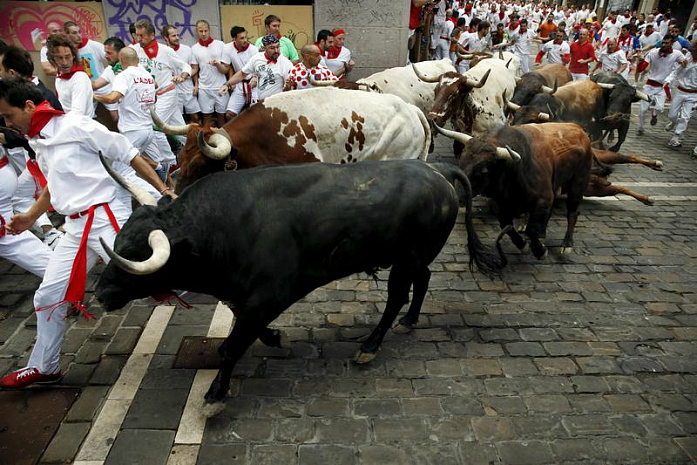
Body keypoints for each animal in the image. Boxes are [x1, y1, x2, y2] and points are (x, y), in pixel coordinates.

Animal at [95, 161, 502, 400]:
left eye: (136, 256)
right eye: (120, 239)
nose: (99, 293)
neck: (220, 226)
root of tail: (437, 171)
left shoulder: (272, 294)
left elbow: (231, 347)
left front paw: (216, 394)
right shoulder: (247, 297)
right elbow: (248, 330)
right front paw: (275, 338)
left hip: (408, 259)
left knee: (396, 296)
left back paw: (370, 345)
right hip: (416, 257)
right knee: (424, 280)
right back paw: (411, 320)